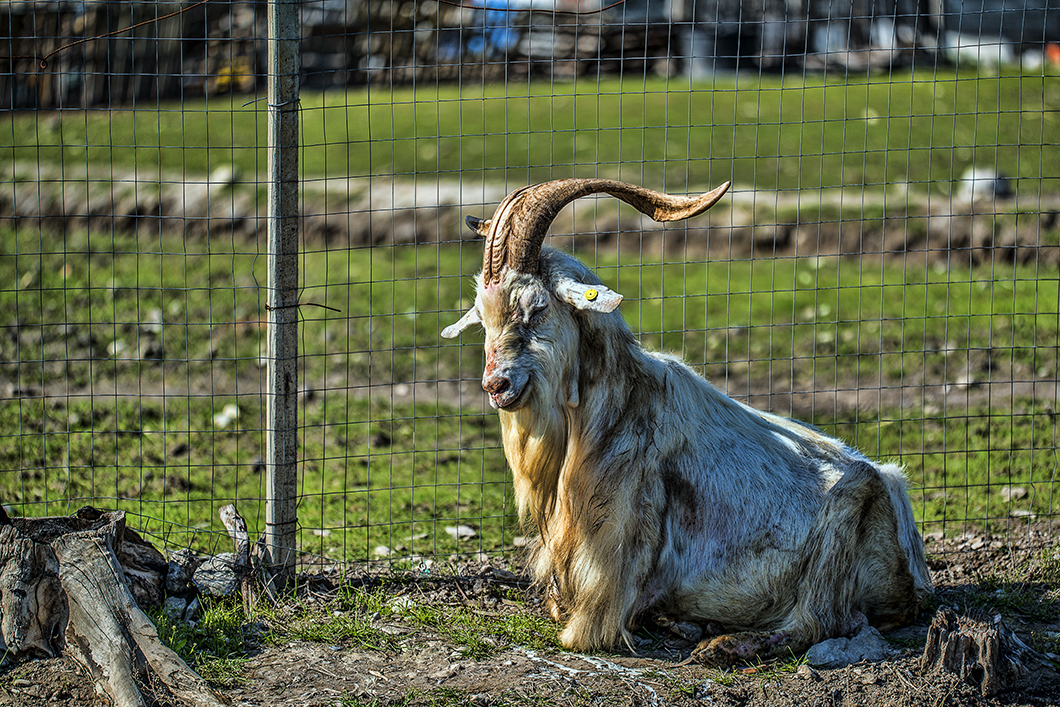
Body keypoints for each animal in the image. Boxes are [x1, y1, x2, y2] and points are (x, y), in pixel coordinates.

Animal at [443, 180, 932, 665]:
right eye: (482, 316)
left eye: (538, 305)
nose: (496, 385)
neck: (616, 412)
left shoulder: (610, 570)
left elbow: (583, 632)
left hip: (850, 509)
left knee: (823, 621)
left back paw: (723, 644)